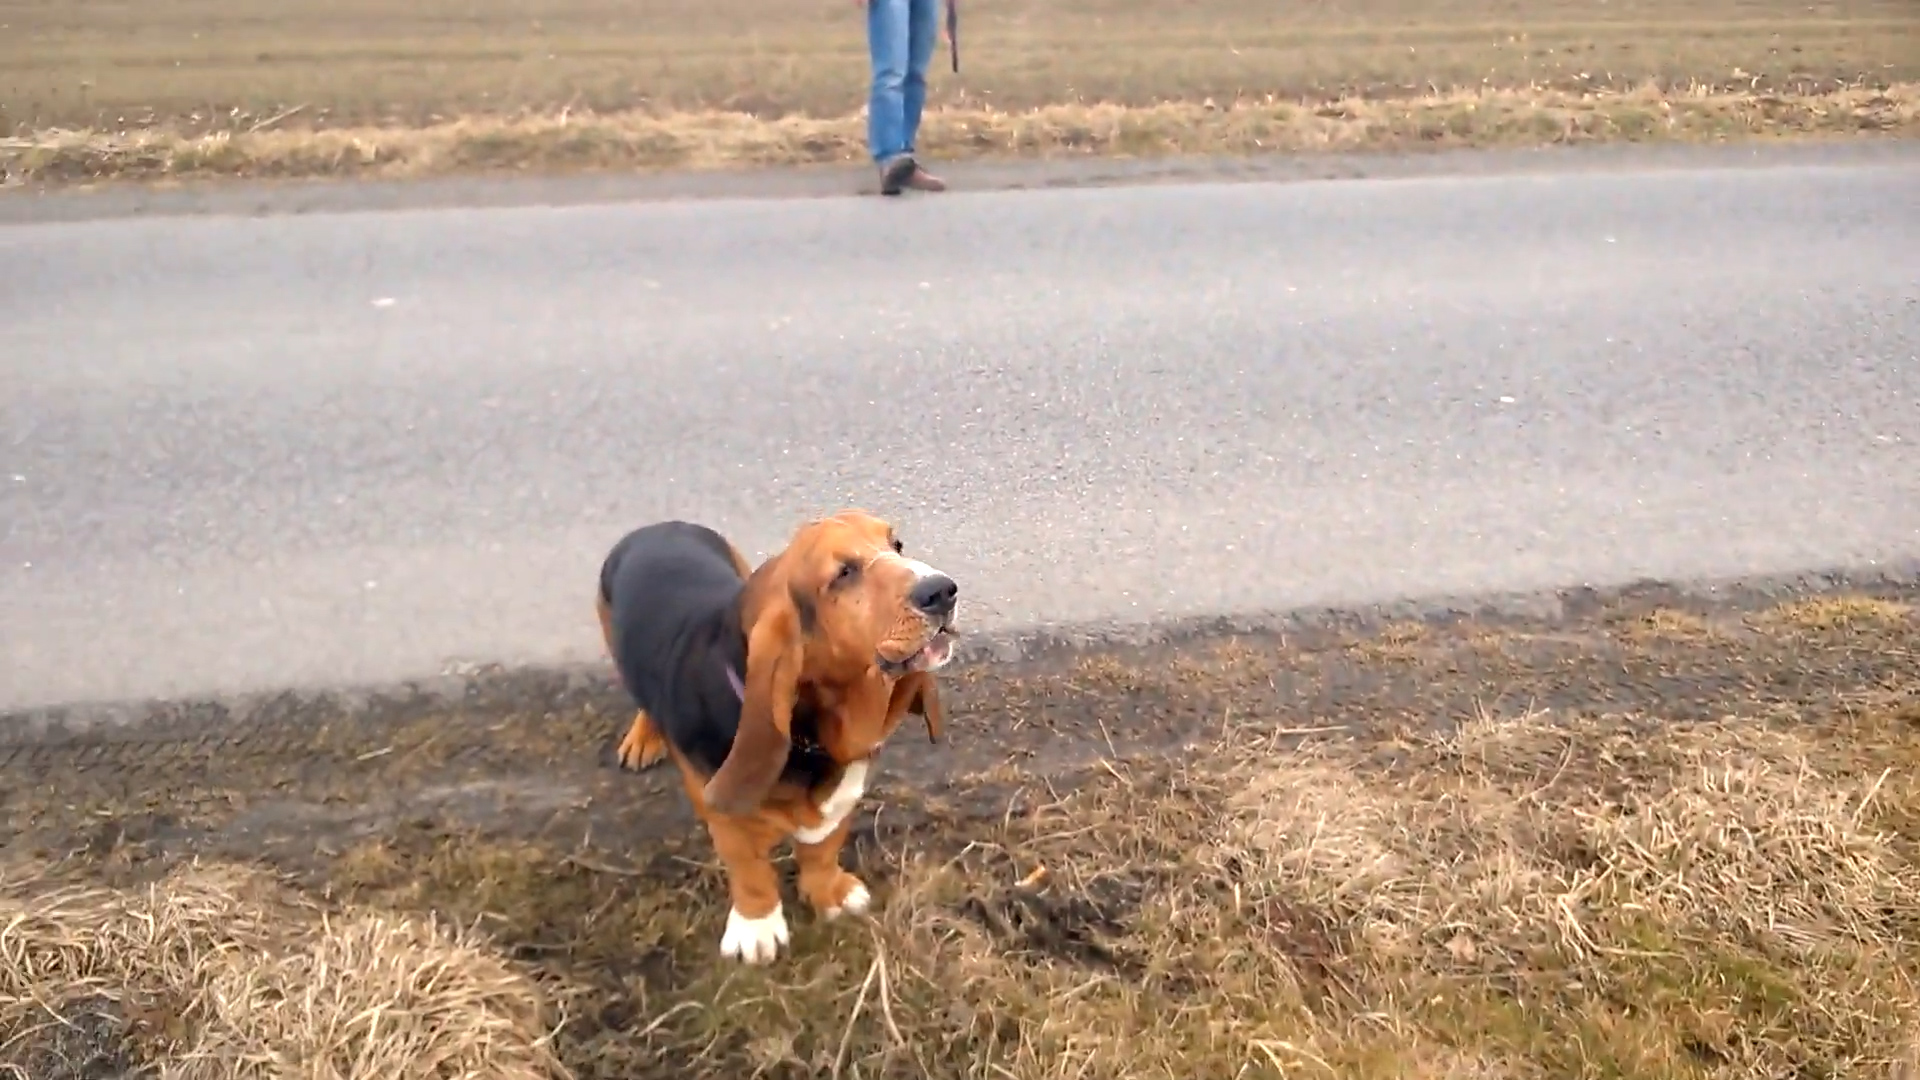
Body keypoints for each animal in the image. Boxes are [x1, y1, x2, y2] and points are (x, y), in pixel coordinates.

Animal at [595, 507, 956, 960]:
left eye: (897, 545)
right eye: (843, 573)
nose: (944, 591)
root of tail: (657, 527)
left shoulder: (840, 795)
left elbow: (822, 847)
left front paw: (828, 892)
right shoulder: (724, 813)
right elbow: (748, 866)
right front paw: (757, 925)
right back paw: (645, 736)